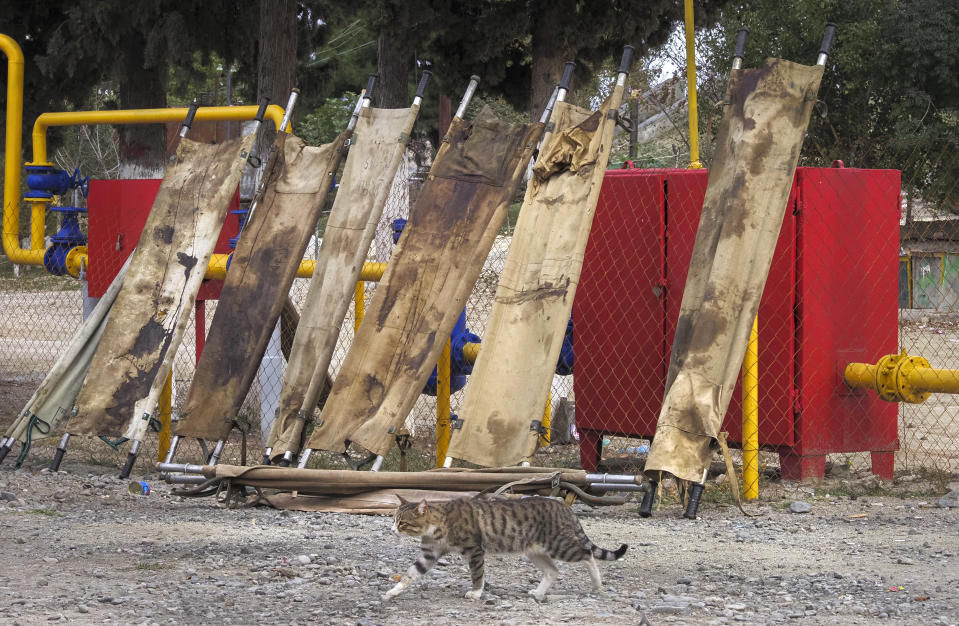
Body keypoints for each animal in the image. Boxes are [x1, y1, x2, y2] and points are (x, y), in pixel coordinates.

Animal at [384, 492, 632, 600]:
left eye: (402, 523)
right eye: (394, 520)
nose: (392, 530)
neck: (439, 524)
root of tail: (565, 507)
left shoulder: (475, 550)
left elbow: (477, 575)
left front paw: (476, 593)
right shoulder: (430, 553)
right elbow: (411, 573)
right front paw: (393, 591)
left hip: (560, 545)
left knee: (587, 554)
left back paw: (597, 584)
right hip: (535, 551)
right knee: (553, 570)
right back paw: (538, 592)